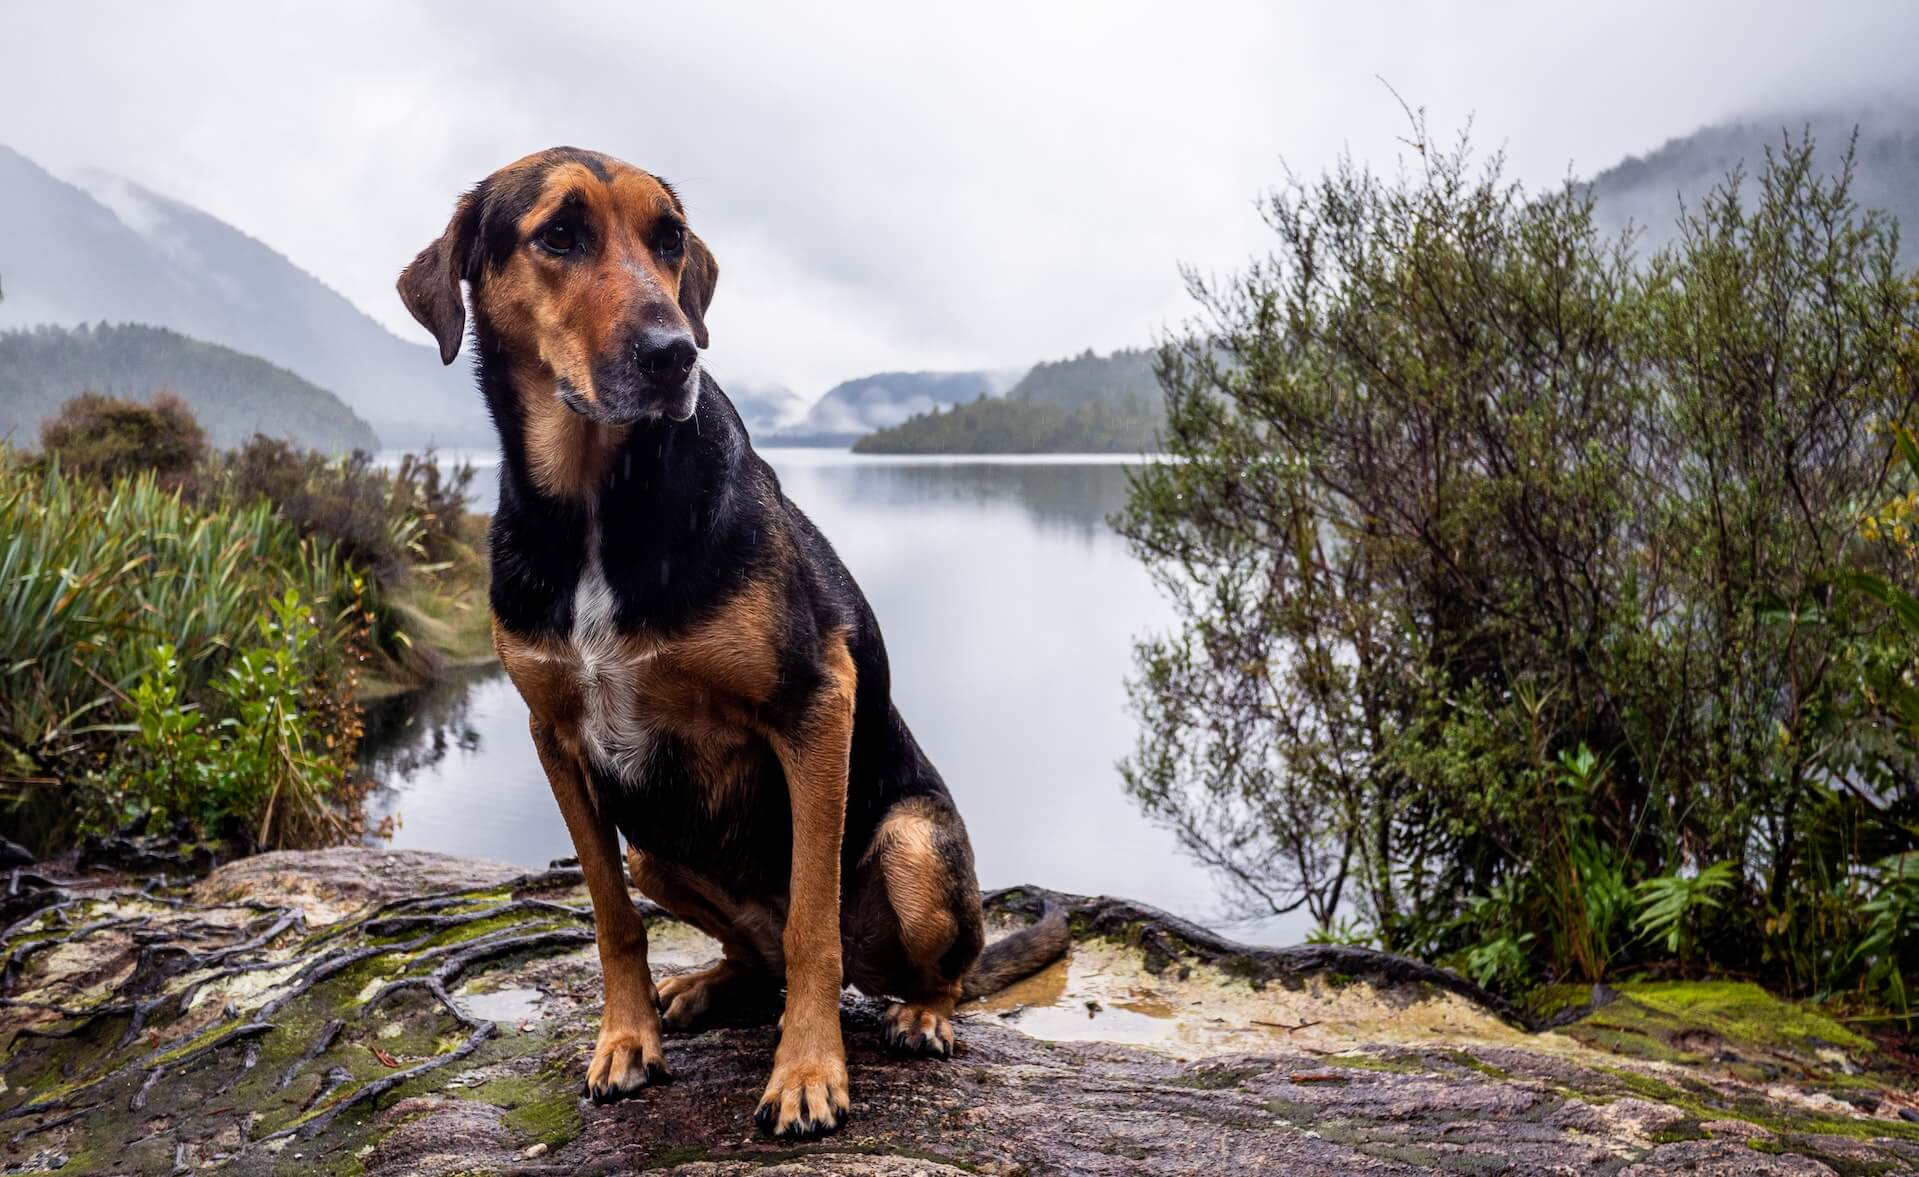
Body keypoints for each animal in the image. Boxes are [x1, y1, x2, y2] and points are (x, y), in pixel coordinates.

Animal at [399, 148, 1074, 1136]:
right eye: (558, 233)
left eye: (669, 238)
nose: (674, 351)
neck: (599, 500)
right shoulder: (553, 736)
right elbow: (611, 914)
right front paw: (626, 1038)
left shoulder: (815, 703)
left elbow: (810, 928)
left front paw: (807, 1072)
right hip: (656, 847)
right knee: (752, 955)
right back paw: (704, 986)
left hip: (913, 845)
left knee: (916, 968)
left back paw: (917, 1012)